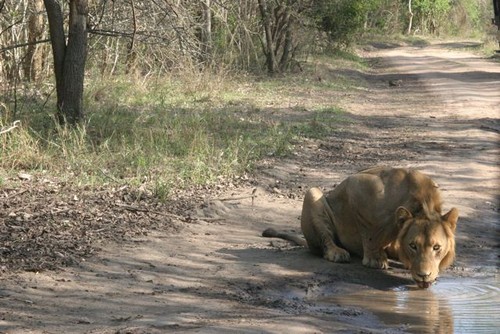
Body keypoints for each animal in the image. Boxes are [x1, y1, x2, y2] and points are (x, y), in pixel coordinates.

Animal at [264, 168, 458, 288]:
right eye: (413, 246)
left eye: (436, 247)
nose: (424, 275)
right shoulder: (357, 186)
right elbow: (370, 233)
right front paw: (374, 259)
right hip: (313, 193)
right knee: (325, 241)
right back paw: (337, 253)